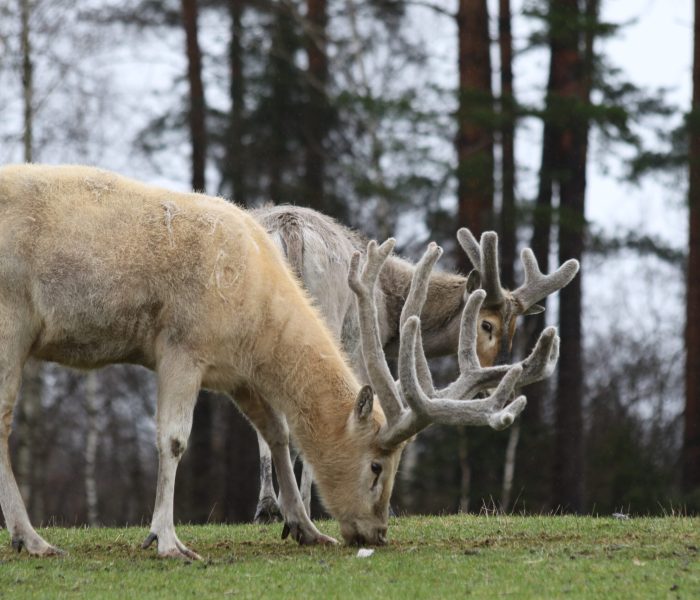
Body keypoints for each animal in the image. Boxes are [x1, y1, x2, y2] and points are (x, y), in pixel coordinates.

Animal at [249, 205, 576, 520]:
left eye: (514, 328)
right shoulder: (362, 348)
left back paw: (268, 507)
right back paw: (298, 504)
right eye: (486, 324)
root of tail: (290, 231)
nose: (502, 390)